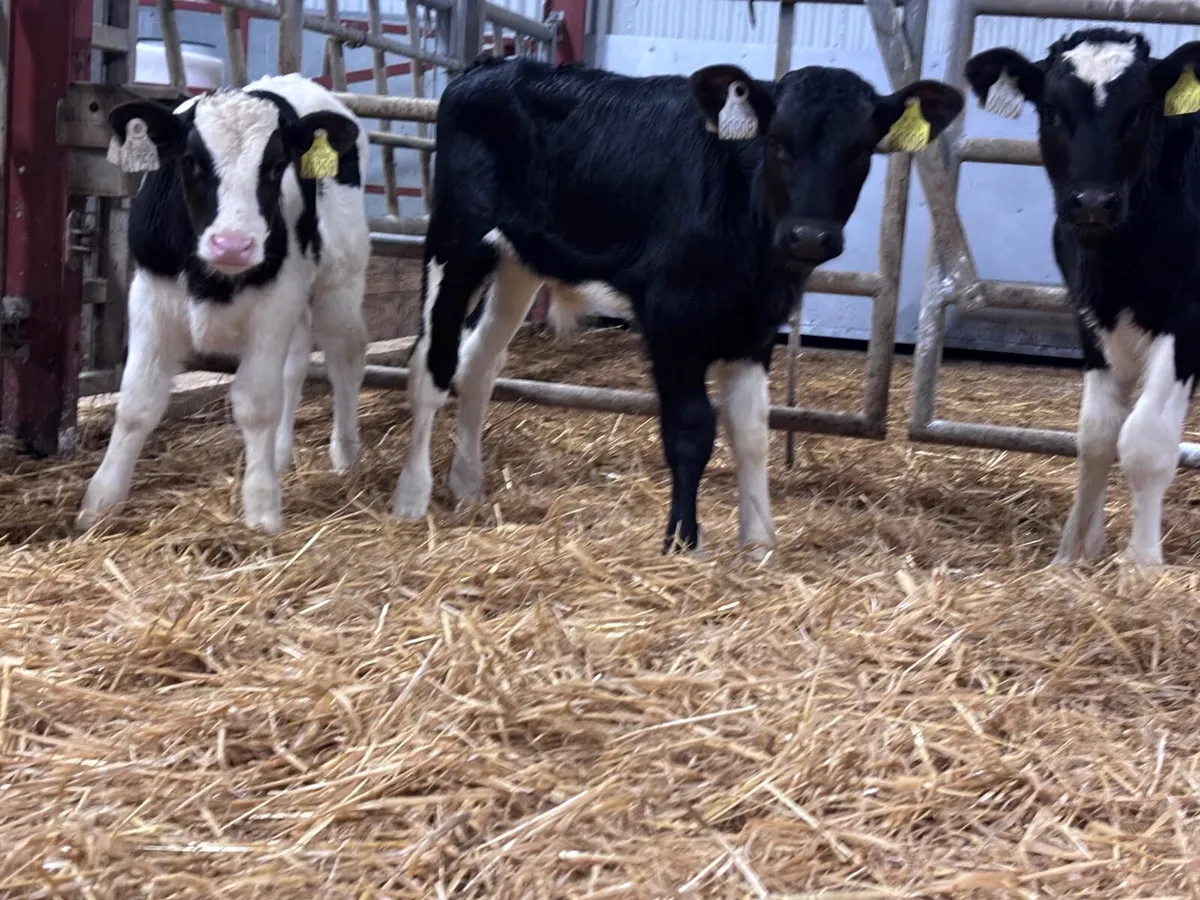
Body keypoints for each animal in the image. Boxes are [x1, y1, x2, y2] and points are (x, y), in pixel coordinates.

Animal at [76, 73, 369, 534]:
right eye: (191, 160)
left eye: (275, 165)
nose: (232, 244)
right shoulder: (149, 298)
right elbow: (137, 402)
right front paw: (101, 500)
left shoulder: (274, 303)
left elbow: (256, 404)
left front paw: (262, 506)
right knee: (295, 365)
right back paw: (279, 456)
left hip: (340, 279)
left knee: (345, 357)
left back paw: (344, 453)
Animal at [391, 55, 964, 556]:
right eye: (777, 140)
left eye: (862, 150)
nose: (808, 236)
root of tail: (490, 65)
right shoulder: (671, 320)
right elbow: (691, 431)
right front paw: (683, 544)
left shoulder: (755, 328)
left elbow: (751, 433)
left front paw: (759, 546)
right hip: (455, 239)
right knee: (431, 364)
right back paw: (412, 496)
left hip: (519, 261)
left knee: (479, 363)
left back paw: (467, 485)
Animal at [965, 28, 1200, 566]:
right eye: (1051, 110)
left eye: (1140, 109)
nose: (1093, 201)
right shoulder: (1088, 316)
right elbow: (1096, 435)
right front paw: (1075, 554)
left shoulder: (1189, 321)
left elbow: (1146, 440)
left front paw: (1142, 564)